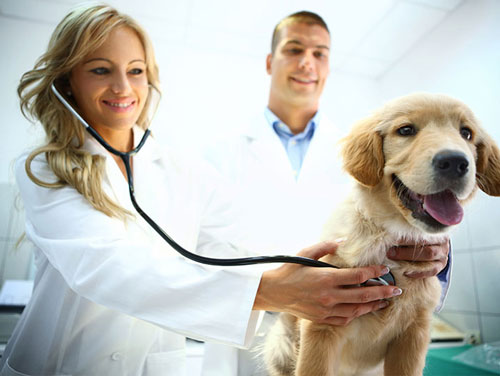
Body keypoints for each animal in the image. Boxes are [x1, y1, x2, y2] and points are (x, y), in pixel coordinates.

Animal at [264, 92, 500, 376]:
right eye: (406, 130)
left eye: (466, 133)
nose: (455, 162)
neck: (389, 235)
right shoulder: (321, 327)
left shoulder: (415, 334)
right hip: (281, 345)